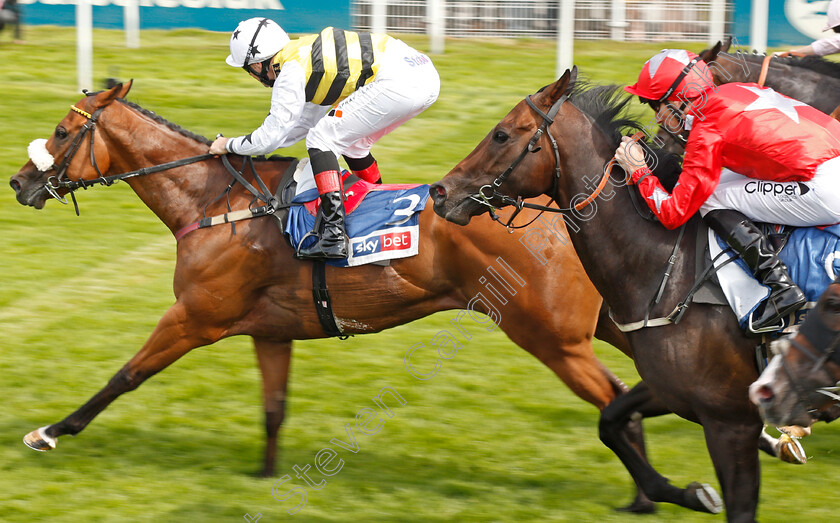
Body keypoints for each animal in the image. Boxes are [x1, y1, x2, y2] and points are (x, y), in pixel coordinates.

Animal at [6, 82, 656, 508]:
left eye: (62, 132)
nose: (18, 181)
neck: (215, 202)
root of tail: (565, 208)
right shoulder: (269, 331)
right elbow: (273, 407)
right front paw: (265, 478)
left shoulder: (194, 317)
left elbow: (125, 376)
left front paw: (50, 432)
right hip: (611, 319)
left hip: (551, 336)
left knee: (616, 398)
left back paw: (646, 495)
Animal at [434, 70, 780, 523]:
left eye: (501, 134)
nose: (440, 192)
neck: (670, 268)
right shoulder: (674, 389)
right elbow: (611, 421)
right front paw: (687, 494)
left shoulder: (730, 420)